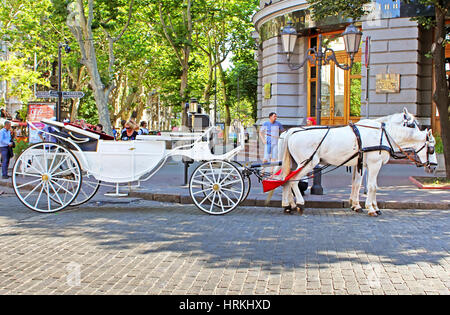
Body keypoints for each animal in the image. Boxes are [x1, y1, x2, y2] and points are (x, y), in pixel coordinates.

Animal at [276, 109, 438, 217]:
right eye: (431, 149)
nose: (434, 167)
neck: (382, 134)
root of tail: (290, 132)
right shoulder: (374, 164)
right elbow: (372, 186)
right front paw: (371, 208)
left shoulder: (360, 164)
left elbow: (357, 184)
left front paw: (357, 205)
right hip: (307, 163)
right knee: (293, 180)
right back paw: (299, 203)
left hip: (295, 163)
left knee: (286, 180)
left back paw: (288, 205)